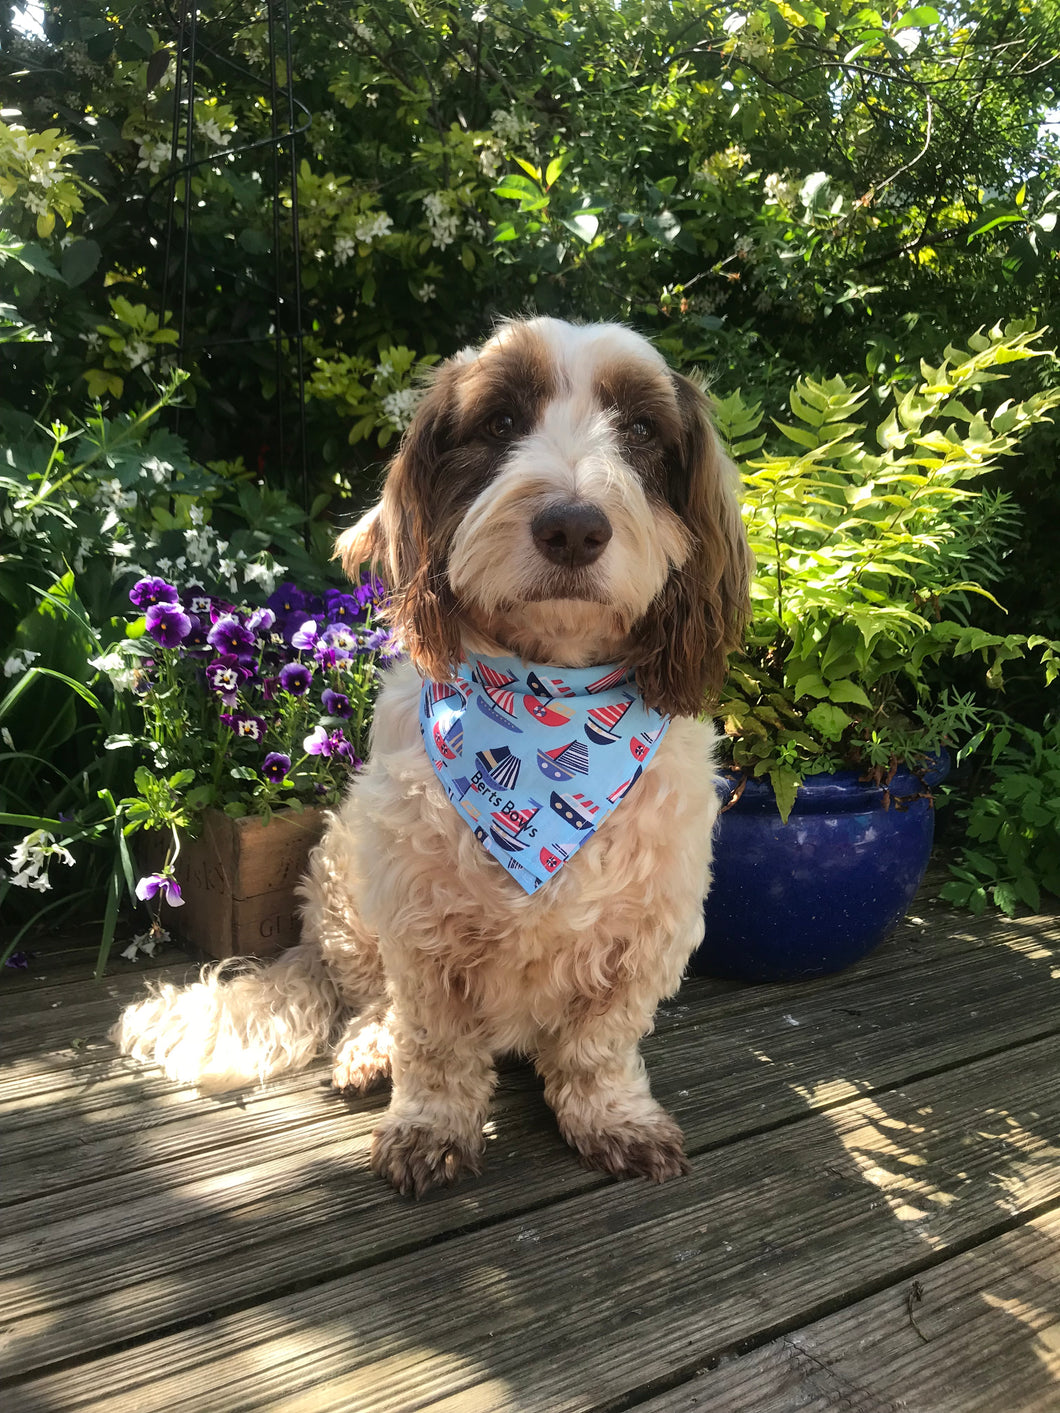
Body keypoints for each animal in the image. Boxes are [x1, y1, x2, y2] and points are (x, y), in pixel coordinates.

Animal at [112, 317, 751, 1192]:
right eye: (500, 422)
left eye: (643, 431)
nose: (573, 525)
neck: (547, 695)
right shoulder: (421, 928)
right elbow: (438, 1047)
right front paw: (429, 1128)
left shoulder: (646, 930)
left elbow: (599, 1045)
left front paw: (613, 1117)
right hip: (344, 885)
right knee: (374, 1004)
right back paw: (369, 1051)